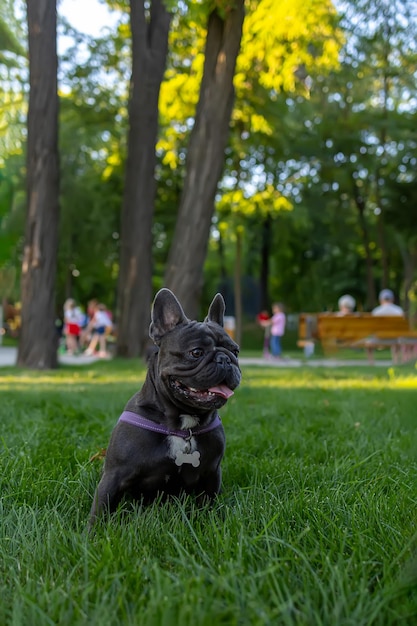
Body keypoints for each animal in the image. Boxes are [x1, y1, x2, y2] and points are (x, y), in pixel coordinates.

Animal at [89, 288, 242, 528]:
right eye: (196, 352)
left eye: (235, 351)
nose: (225, 359)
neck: (183, 425)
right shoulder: (114, 475)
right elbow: (101, 508)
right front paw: (92, 534)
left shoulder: (211, 473)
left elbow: (208, 503)